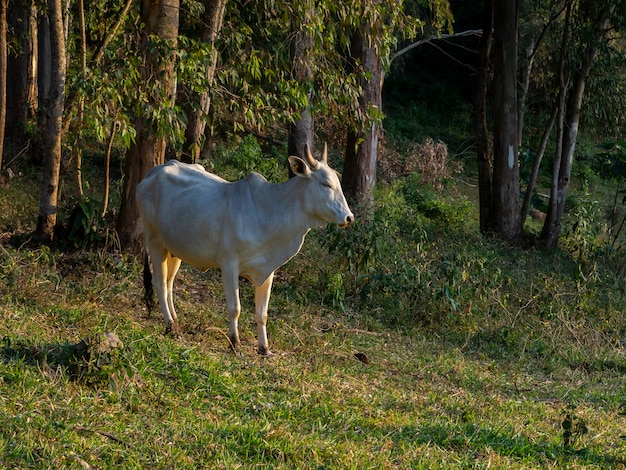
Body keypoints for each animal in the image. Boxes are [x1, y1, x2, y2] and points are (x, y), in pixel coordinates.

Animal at [136, 144, 352, 356]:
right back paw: (171, 327)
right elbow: (235, 308)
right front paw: (235, 343)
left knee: (169, 283)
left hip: (174, 249)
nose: (349, 217)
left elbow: (262, 313)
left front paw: (264, 348)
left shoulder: (268, 271)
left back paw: (175, 322)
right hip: (154, 240)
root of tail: (155, 171)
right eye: (326, 184)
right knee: (159, 283)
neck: (269, 211)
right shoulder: (229, 264)